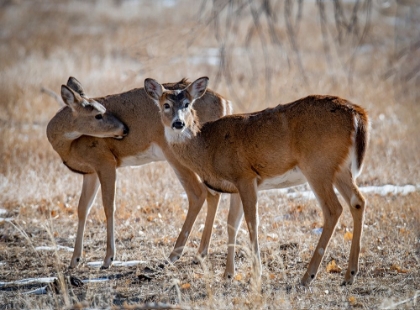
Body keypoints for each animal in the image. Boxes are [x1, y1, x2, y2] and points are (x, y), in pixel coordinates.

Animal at [46, 77, 240, 268]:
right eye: (98, 114)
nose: (124, 129)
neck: (68, 146)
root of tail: (225, 102)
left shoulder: (105, 161)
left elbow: (108, 206)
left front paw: (108, 259)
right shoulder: (90, 172)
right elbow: (82, 208)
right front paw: (74, 260)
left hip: (176, 154)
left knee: (198, 193)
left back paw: (174, 255)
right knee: (213, 194)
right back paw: (199, 254)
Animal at [146, 75, 370, 286]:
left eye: (187, 104)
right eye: (166, 104)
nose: (178, 123)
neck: (208, 147)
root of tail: (357, 114)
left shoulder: (246, 176)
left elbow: (252, 221)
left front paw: (256, 273)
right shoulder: (235, 186)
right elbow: (231, 224)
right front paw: (228, 275)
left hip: (317, 165)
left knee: (333, 209)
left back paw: (308, 276)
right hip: (340, 168)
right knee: (358, 201)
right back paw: (350, 275)